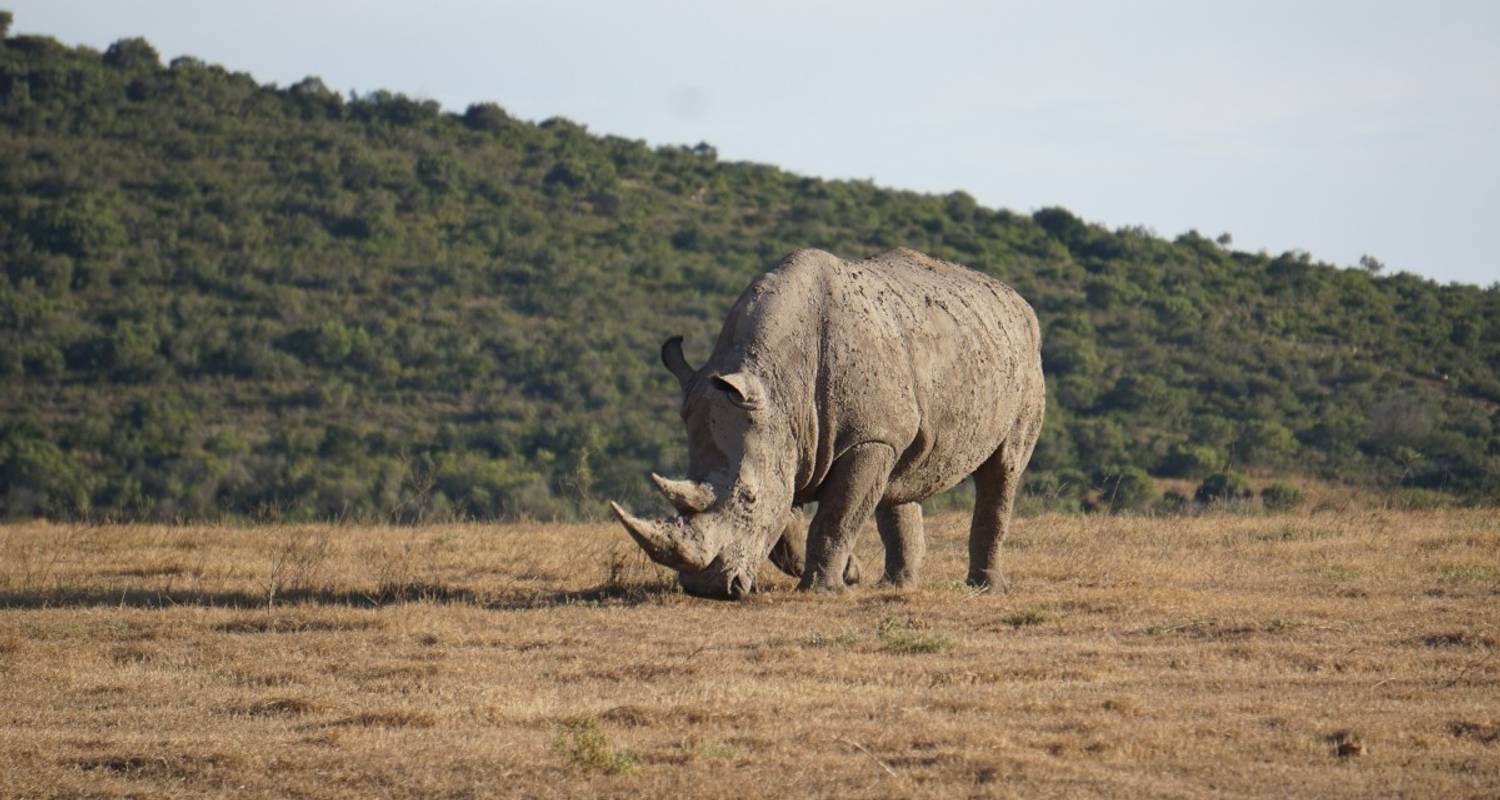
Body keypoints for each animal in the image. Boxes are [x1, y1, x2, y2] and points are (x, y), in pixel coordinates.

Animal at [609, 246, 1044, 594]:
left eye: (748, 498)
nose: (707, 589)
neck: (777, 380)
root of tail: (1016, 300)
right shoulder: (781, 434)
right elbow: (787, 518)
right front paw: (851, 574)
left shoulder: (864, 438)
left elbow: (836, 515)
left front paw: (823, 589)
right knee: (899, 472)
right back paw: (894, 587)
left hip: (1024, 360)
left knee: (1002, 470)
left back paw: (986, 589)